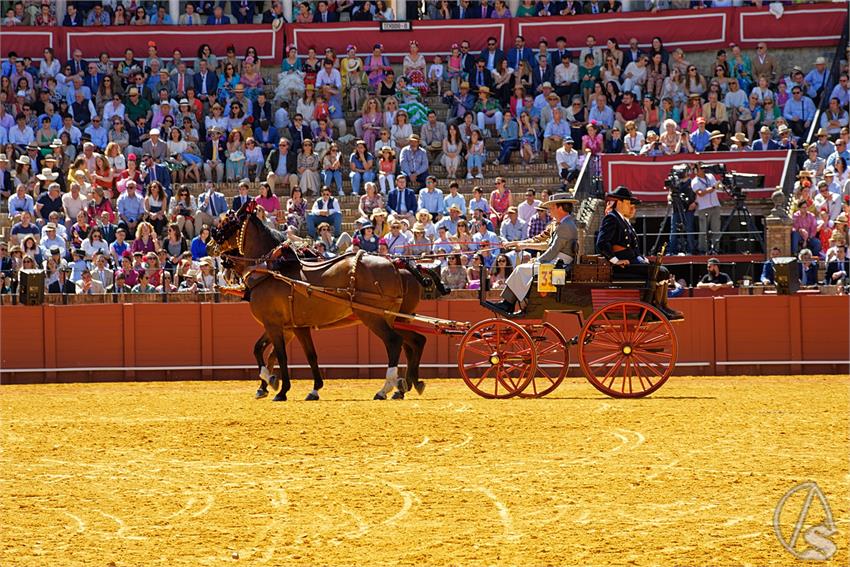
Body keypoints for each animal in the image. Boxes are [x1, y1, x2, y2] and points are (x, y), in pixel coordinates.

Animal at [210, 202, 444, 402]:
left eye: (226, 222)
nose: (212, 245)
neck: (271, 268)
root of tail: (396, 264)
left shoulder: (274, 324)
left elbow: (279, 356)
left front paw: (278, 387)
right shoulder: (293, 327)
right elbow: (297, 354)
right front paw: (308, 388)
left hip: (375, 317)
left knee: (395, 342)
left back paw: (386, 388)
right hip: (395, 318)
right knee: (416, 341)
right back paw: (410, 383)